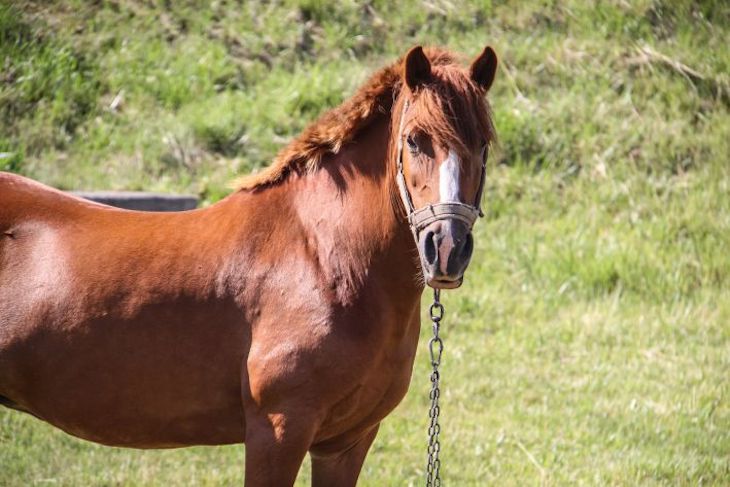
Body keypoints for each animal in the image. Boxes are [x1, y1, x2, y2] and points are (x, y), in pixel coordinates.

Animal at [0, 44, 494, 484]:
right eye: (414, 139)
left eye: (484, 144)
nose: (447, 247)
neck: (322, 258)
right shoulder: (277, 430)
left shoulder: (345, 443)